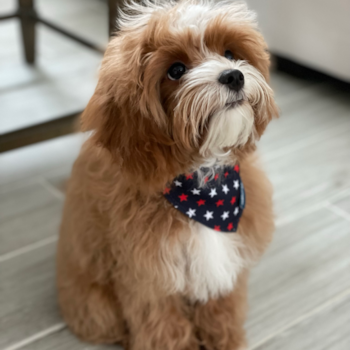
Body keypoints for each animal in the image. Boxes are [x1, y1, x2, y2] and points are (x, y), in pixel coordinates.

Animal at [56, 1, 278, 348]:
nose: (233, 75)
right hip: (97, 308)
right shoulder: (148, 282)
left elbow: (222, 314)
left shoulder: (225, 269)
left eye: (229, 52)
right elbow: (165, 330)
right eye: (176, 70)